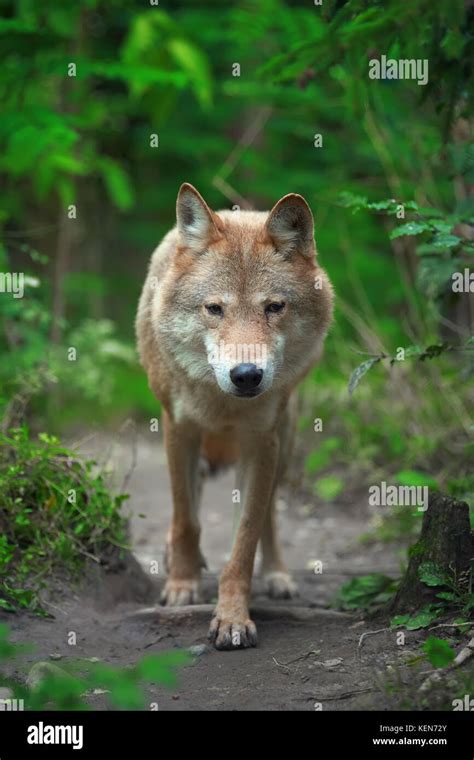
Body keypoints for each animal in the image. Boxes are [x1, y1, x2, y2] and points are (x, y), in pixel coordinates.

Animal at [134, 183, 334, 648]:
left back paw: (278, 576)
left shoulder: (261, 442)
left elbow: (245, 541)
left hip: (285, 440)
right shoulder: (178, 428)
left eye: (274, 307)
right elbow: (185, 518)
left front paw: (232, 619)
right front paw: (182, 585)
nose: (246, 375)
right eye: (214, 309)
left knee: (271, 517)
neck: (222, 403)